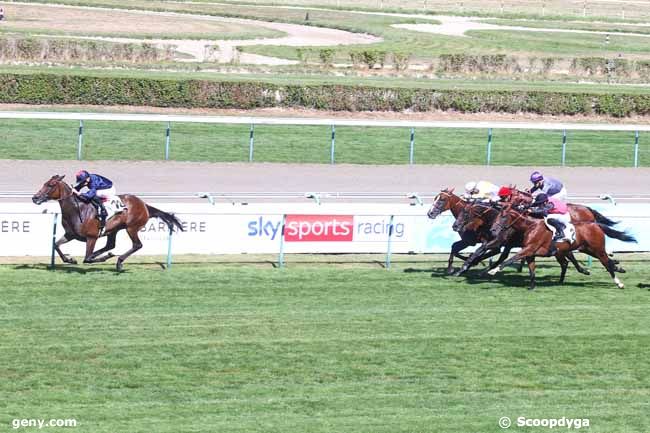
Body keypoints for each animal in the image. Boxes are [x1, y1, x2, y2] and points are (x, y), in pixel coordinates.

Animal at [34, 175, 184, 270]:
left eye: (51, 185)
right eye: (44, 183)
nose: (35, 198)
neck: (77, 209)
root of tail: (144, 205)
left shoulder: (92, 237)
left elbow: (87, 258)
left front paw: (102, 258)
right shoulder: (71, 234)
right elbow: (56, 245)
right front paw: (70, 260)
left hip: (131, 228)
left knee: (137, 245)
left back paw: (118, 262)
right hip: (114, 229)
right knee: (110, 245)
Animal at [486, 203, 632, 290]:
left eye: (503, 217)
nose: (492, 230)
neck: (530, 226)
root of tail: (595, 224)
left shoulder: (528, 249)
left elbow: (511, 258)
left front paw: (493, 270)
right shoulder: (530, 253)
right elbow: (532, 270)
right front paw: (532, 286)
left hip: (597, 249)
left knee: (606, 263)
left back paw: (619, 282)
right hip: (587, 249)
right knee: (605, 261)